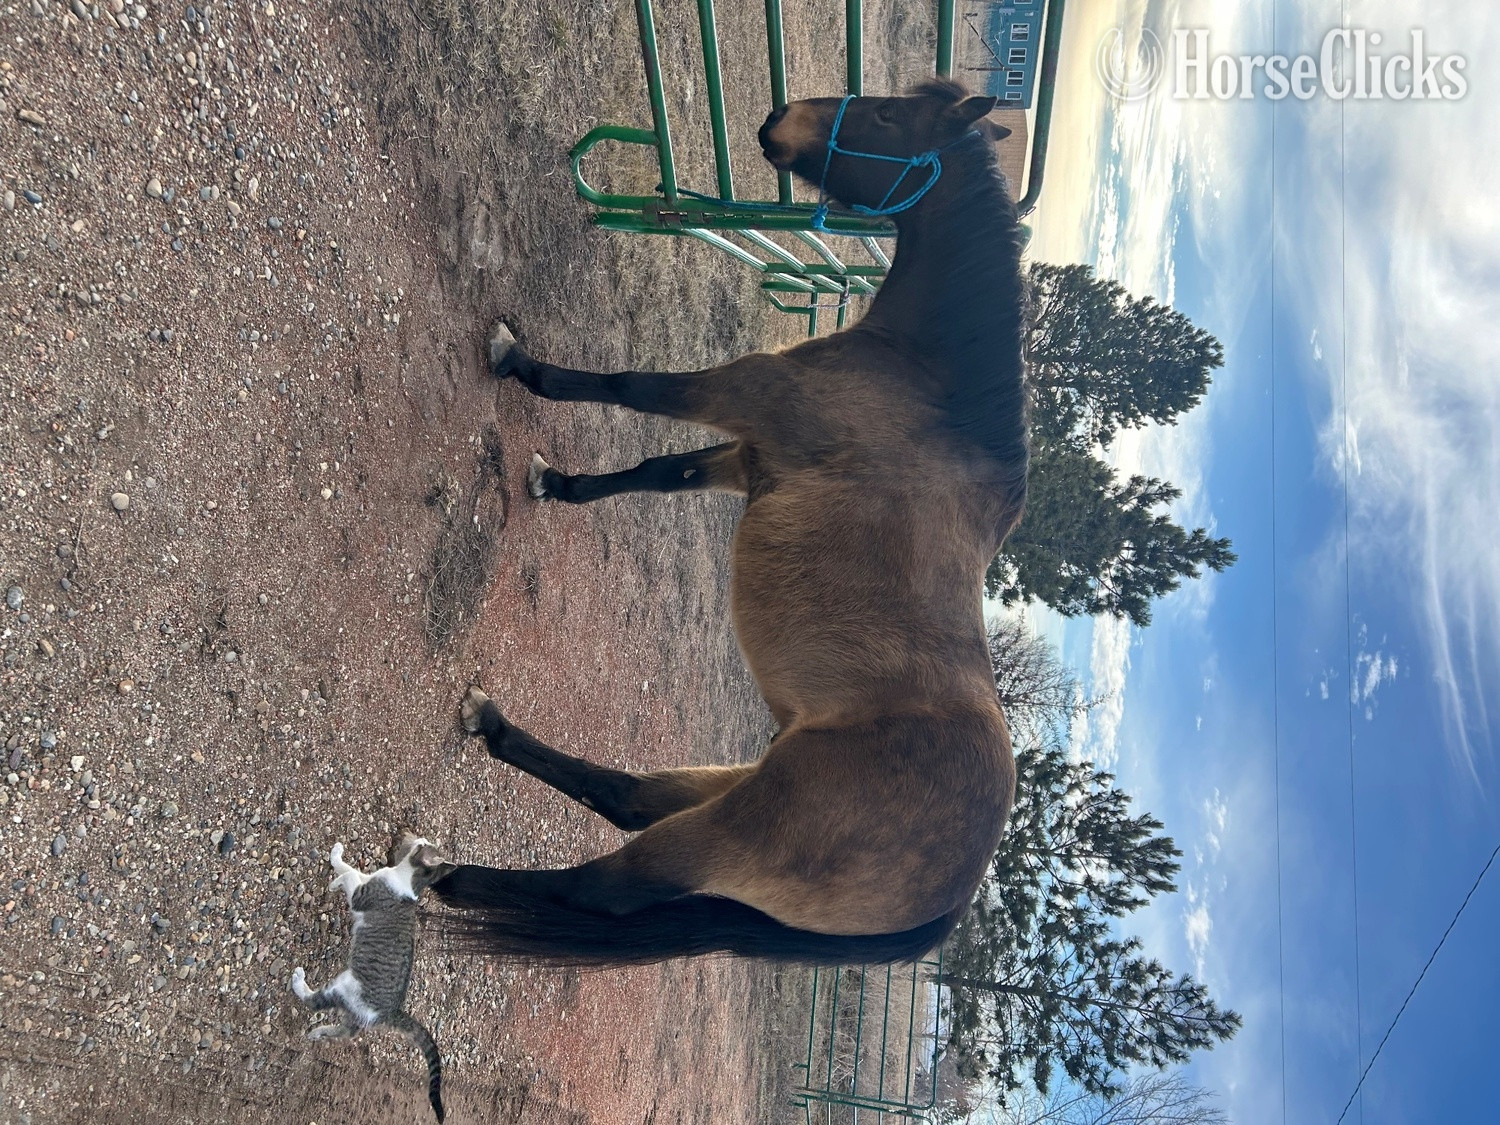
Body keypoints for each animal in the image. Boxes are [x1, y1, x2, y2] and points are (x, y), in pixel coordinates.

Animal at [432, 80, 1030, 968]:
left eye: (887, 116)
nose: (778, 121)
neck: (926, 384)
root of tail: (948, 904)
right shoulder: (750, 457)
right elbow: (657, 472)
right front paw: (560, 484)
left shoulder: (740, 395)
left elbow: (633, 384)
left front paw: (521, 364)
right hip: (731, 784)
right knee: (628, 796)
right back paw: (493, 727)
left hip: (731, 829)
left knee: (599, 887)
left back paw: (441, 876)